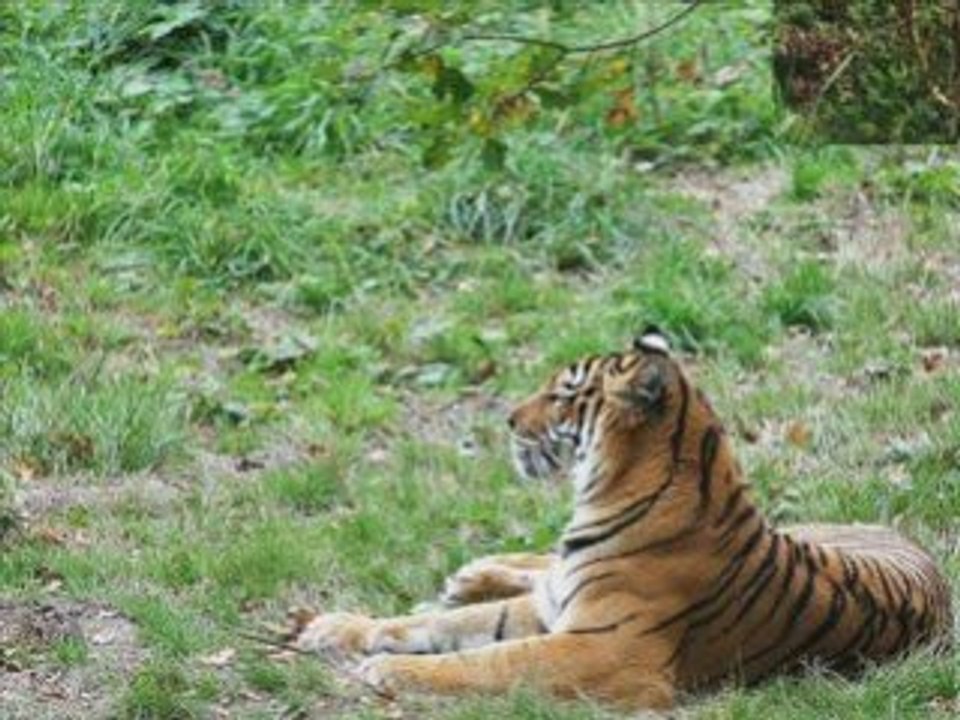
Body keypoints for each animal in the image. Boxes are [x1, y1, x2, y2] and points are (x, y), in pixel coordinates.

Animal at [290, 330, 953, 710]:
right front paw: (333, 628)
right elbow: (423, 624)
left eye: (561, 394)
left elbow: (485, 661)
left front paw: (386, 670)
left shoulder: (604, 649)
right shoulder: (552, 609)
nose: (508, 419)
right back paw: (470, 574)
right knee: (534, 564)